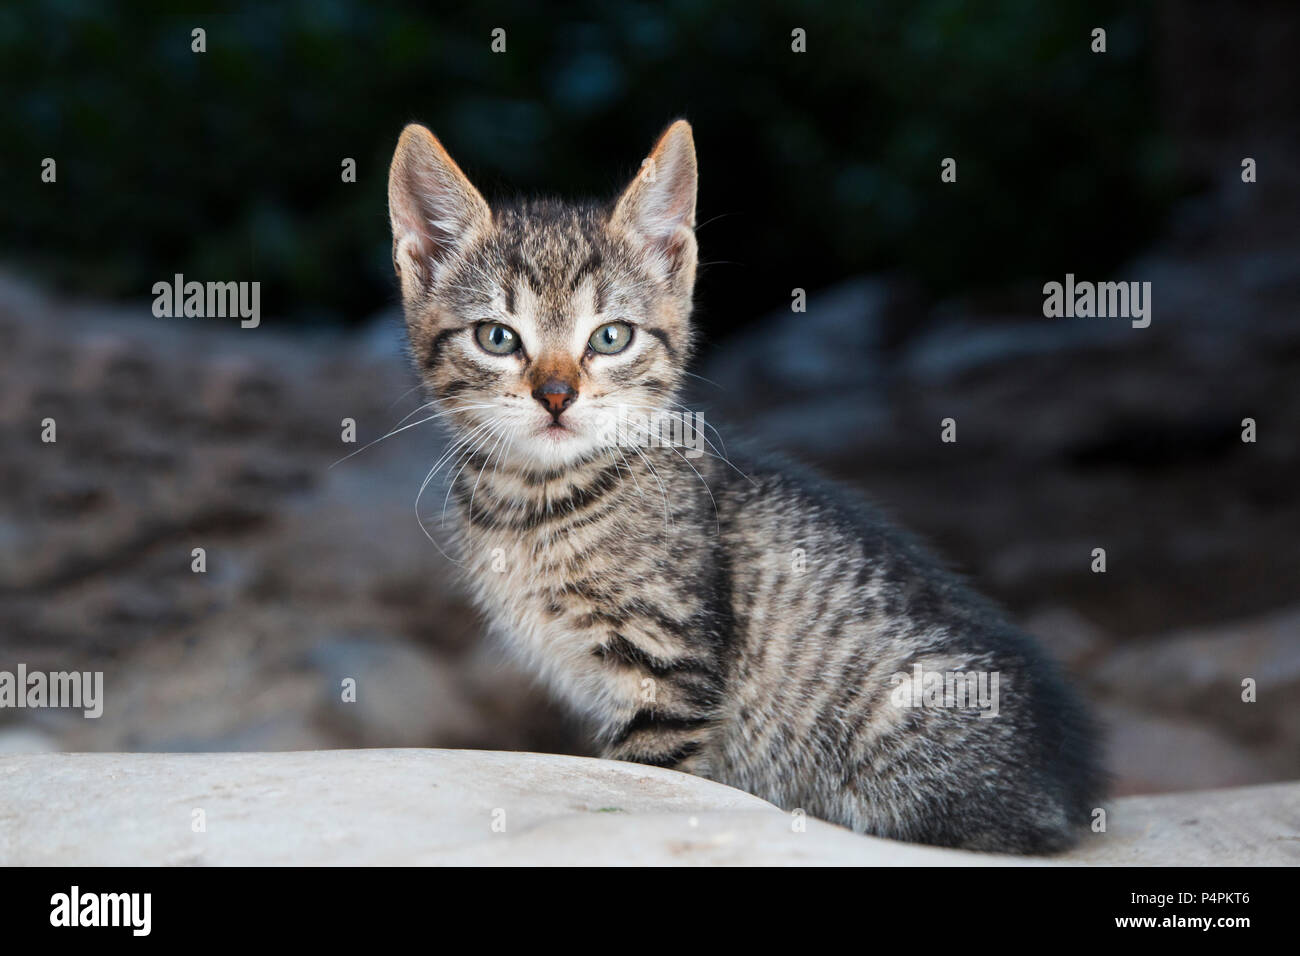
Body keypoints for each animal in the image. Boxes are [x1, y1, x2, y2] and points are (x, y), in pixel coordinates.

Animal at [382, 119, 1097, 853]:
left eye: (610, 338)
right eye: (498, 337)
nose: (556, 395)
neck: (536, 495)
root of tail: (1064, 792)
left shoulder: (668, 669)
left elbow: (650, 776)